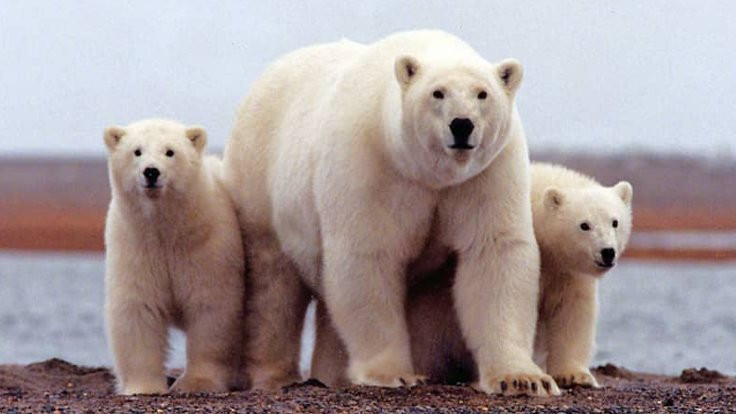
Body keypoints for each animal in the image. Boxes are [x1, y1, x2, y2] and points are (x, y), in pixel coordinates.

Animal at [103, 119, 244, 394]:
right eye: (137, 151)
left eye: (170, 151)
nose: (151, 172)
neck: (167, 231)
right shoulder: (136, 247)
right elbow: (138, 308)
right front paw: (144, 387)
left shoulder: (207, 247)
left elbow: (211, 308)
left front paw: (197, 383)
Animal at [224, 29, 556, 398]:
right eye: (437, 93)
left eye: (482, 93)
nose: (462, 125)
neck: (429, 173)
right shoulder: (372, 164)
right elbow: (369, 257)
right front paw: (393, 373)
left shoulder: (485, 174)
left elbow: (494, 252)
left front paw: (524, 378)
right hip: (260, 180)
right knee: (273, 285)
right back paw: (274, 375)